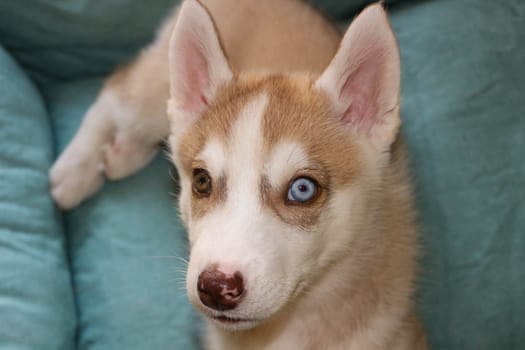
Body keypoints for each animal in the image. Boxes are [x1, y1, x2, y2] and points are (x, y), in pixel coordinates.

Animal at [49, 0, 426, 348]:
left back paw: (121, 155)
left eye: (303, 189)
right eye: (202, 181)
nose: (216, 288)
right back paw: (73, 171)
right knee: (115, 93)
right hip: (151, 95)